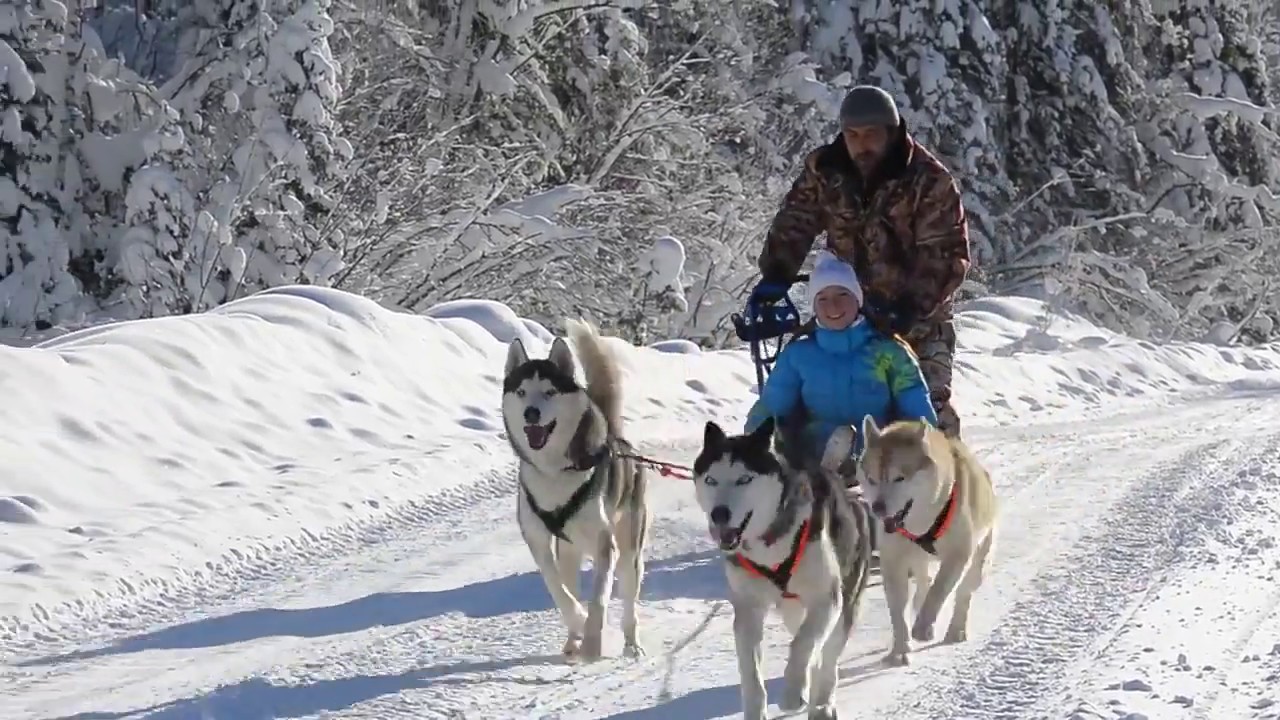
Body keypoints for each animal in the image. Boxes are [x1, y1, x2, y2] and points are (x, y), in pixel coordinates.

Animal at [501, 316, 650, 661]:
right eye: (522, 391)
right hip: (568, 550)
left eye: (549, 391)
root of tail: (617, 436)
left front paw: (593, 642)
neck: (555, 471)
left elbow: (599, 601)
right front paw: (579, 623)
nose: (531, 413)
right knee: (569, 582)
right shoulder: (539, 542)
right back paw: (572, 641)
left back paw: (630, 644)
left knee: (629, 601)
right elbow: (559, 592)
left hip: (629, 548)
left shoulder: (605, 544)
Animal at [691, 412, 880, 712]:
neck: (770, 544)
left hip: (844, 605)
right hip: (794, 610)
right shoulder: (748, 609)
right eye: (711, 480)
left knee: (827, 658)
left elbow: (802, 644)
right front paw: (756, 706)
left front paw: (793, 692)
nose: (719, 513)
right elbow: (750, 671)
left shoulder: (826, 599)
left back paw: (822, 702)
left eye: (744, 479)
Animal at [855, 412, 993, 666]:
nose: (878, 508)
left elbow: (939, 591)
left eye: (899, 478)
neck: (920, 524)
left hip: (979, 562)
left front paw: (923, 627)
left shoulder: (958, 554)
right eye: (871, 479)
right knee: (922, 584)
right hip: (917, 561)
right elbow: (898, 610)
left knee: (963, 592)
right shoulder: (893, 560)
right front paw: (899, 649)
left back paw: (955, 629)